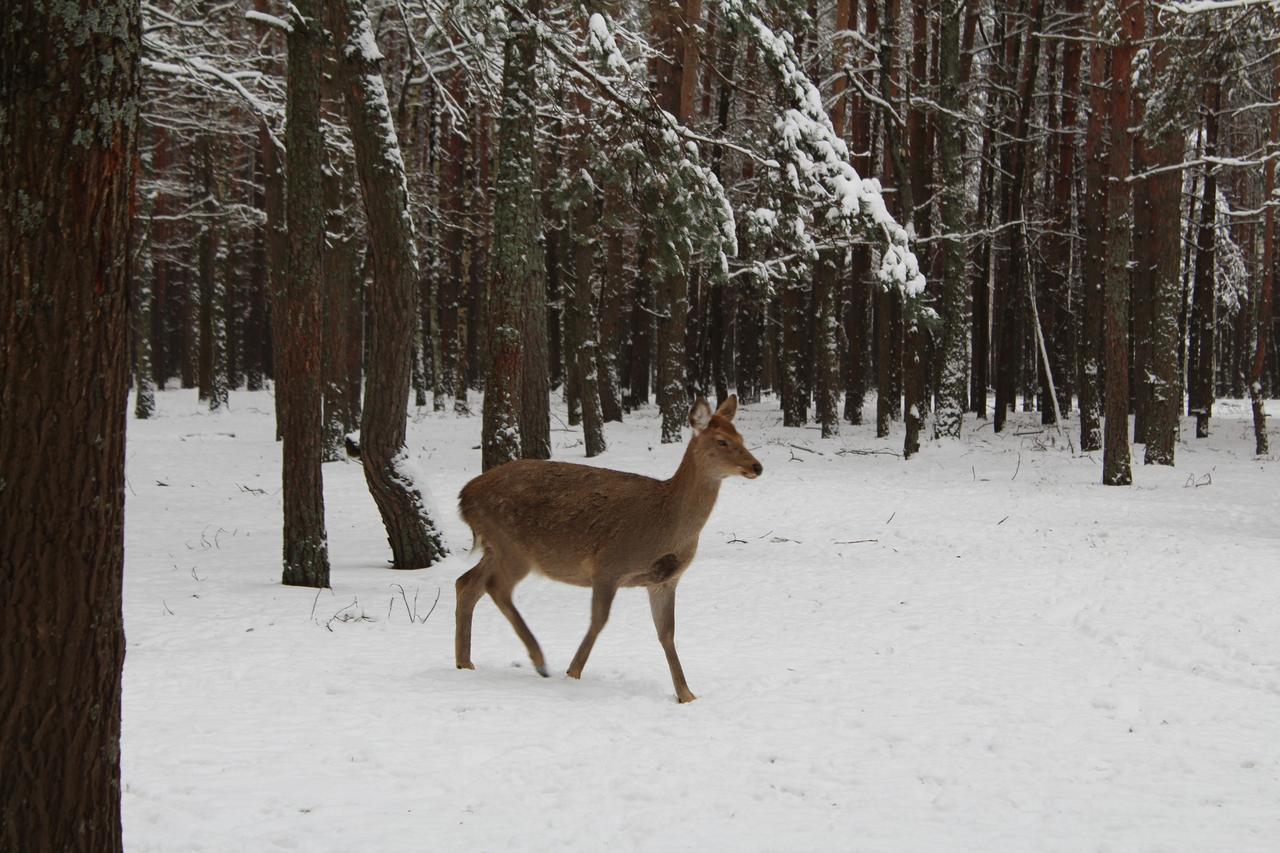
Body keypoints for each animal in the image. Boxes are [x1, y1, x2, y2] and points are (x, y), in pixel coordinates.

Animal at [454, 395, 762, 703]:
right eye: (722, 441)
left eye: (741, 437)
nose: (757, 466)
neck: (665, 522)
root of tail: (464, 496)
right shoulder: (608, 565)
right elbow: (599, 620)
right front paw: (572, 673)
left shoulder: (665, 580)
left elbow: (667, 633)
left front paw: (686, 695)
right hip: (513, 545)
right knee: (496, 587)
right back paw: (539, 661)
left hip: (495, 546)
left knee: (466, 583)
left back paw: (464, 662)